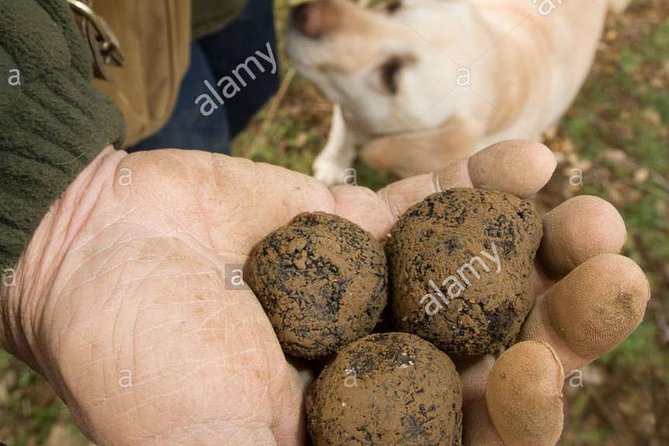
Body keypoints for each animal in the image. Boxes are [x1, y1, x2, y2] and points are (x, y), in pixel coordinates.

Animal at [284, 0, 628, 185]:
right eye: (392, 6)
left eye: (391, 76)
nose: (304, 13)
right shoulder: (351, 107)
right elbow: (343, 128)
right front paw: (333, 165)